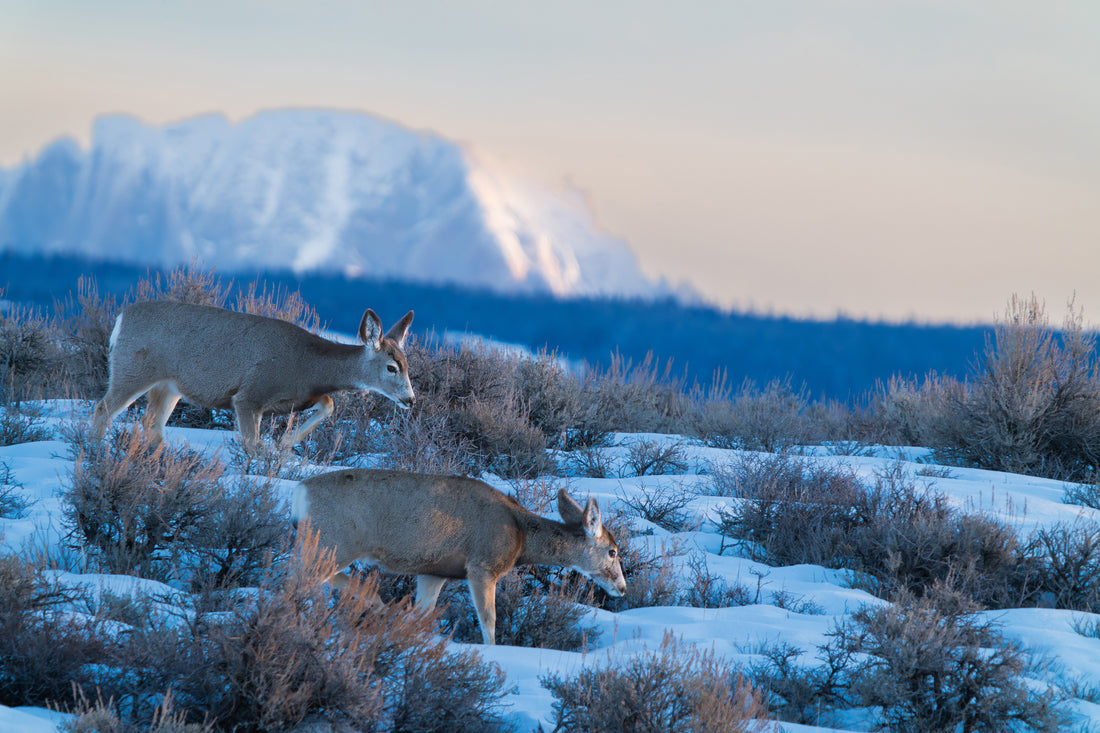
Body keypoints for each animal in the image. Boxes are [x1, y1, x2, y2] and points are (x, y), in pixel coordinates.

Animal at [90, 301, 415, 453]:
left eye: (407, 364)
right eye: (391, 367)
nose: (410, 399)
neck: (307, 365)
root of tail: (120, 319)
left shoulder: (295, 398)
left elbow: (329, 403)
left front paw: (284, 444)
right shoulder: (249, 395)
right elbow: (251, 446)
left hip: (168, 387)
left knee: (152, 425)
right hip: (133, 370)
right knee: (103, 408)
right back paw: (92, 451)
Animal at [291, 468, 627, 645]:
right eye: (612, 551)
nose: (622, 588)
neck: (520, 534)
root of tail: (299, 493)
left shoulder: (433, 572)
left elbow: (423, 613)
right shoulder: (482, 566)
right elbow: (489, 620)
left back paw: (375, 604)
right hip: (333, 541)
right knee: (298, 581)